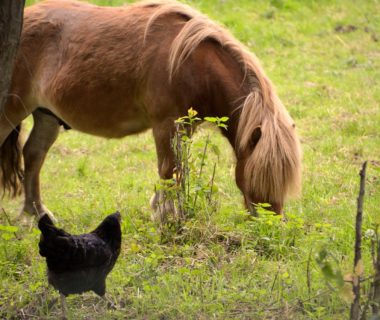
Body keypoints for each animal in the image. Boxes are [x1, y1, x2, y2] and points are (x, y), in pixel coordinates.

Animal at [0, 0, 302, 221]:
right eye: (258, 177)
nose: (271, 224)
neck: (191, 62)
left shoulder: (184, 127)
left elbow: (179, 170)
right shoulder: (165, 125)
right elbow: (169, 169)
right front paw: (167, 216)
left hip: (47, 116)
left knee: (34, 155)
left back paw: (36, 214)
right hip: (12, 112)